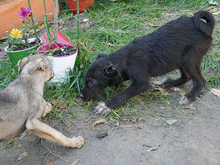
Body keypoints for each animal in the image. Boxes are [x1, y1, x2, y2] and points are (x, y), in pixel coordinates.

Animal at [80, 10, 215, 115]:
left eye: (92, 82)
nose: (81, 96)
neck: (125, 60)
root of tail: (206, 26)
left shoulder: (141, 82)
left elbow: (123, 94)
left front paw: (106, 106)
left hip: (189, 59)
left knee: (200, 81)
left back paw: (189, 96)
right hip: (180, 59)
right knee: (186, 76)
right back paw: (170, 83)